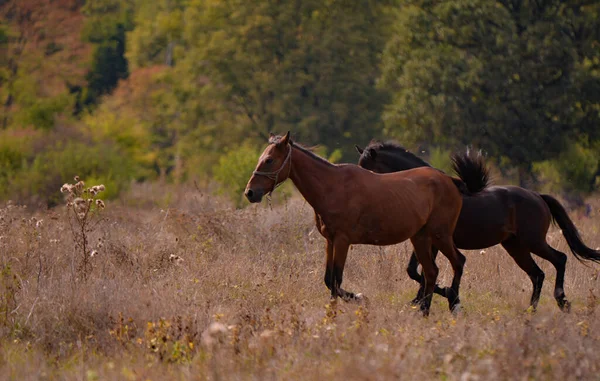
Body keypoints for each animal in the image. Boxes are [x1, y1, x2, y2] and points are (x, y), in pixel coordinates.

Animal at [245, 132, 468, 316]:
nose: (250, 192)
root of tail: (451, 181)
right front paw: (351, 301)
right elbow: (329, 280)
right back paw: (425, 311)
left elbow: (336, 280)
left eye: (269, 160)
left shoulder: (343, 241)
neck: (332, 186)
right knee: (431, 272)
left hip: (440, 236)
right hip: (421, 237)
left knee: (457, 262)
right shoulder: (330, 241)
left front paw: (342, 310)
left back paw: (453, 304)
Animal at [356, 141, 600, 310]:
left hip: (533, 241)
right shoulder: (428, 241)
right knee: (538, 274)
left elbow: (422, 272)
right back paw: (531, 310)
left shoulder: (435, 241)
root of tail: (538, 196)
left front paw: (445, 296)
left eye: (368, 168)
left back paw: (561, 301)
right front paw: (425, 299)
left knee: (560, 259)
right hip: (516, 247)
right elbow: (415, 271)